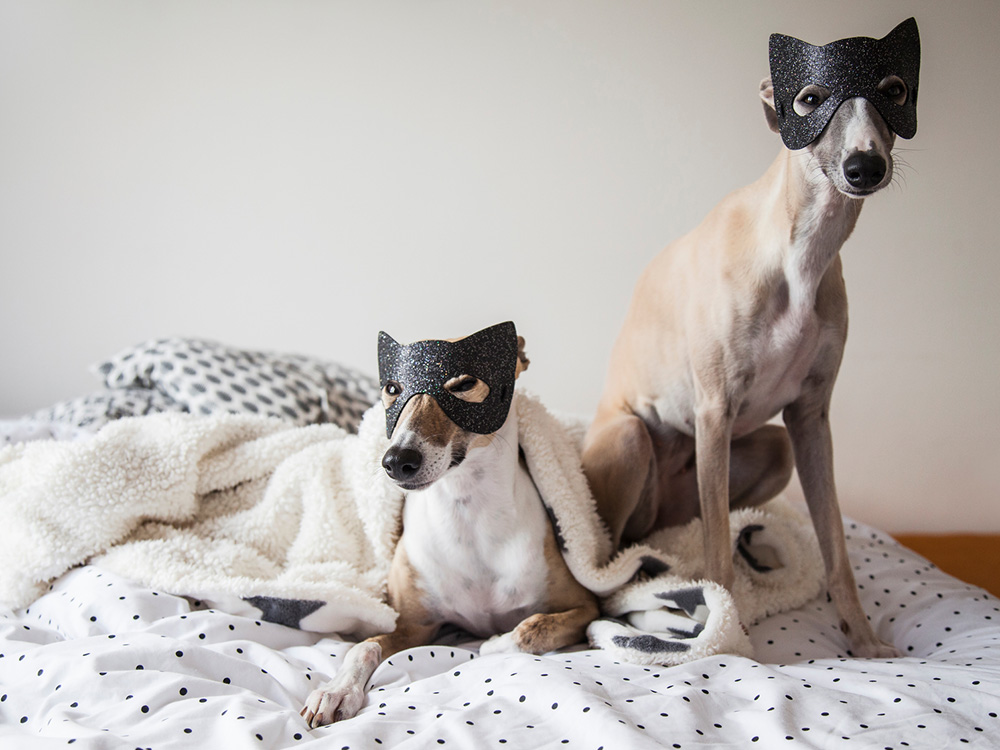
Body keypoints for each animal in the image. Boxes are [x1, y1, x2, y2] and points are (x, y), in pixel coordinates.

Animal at [300, 328, 596, 728]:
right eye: (392, 388)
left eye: (465, 384)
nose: (397, 461)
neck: (467, 515)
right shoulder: (414, 626)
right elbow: (362, 647)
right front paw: (335, 691)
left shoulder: (587, 606)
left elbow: (532, 628)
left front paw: (493, 643)